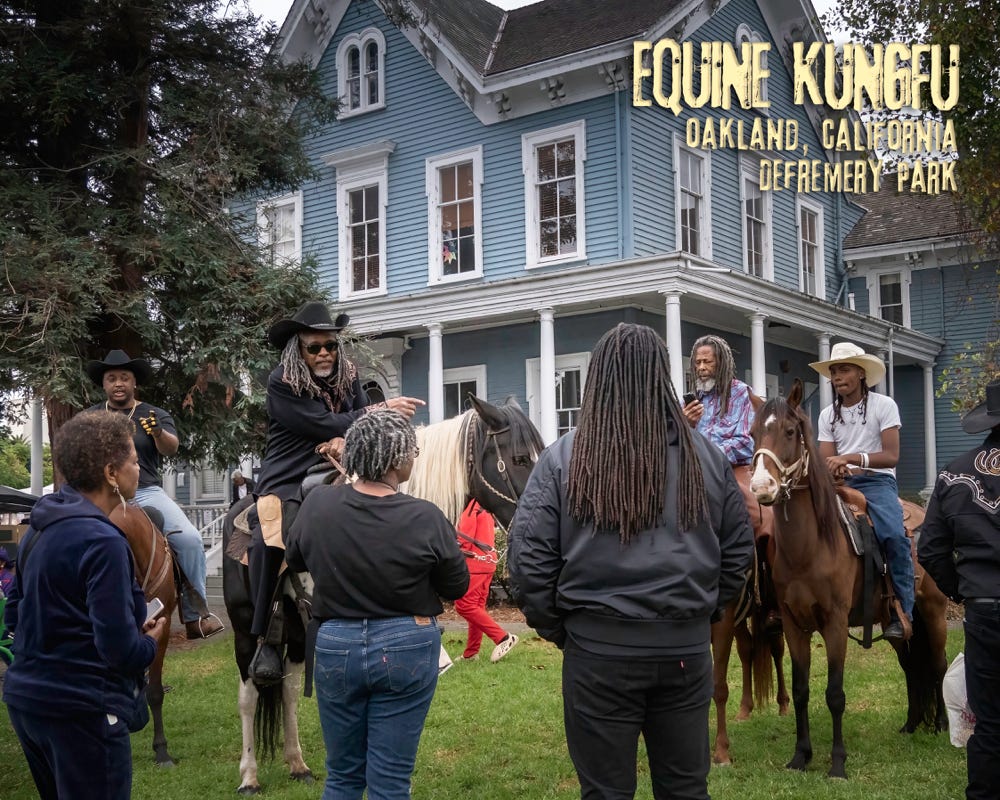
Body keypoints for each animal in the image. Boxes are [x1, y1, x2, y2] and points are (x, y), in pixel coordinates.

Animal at [748, 384, 948, 780]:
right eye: (752, 434)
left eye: (790, 432)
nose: (762, 486)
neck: (811, 546)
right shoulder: (793, 625)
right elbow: (801, 690)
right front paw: (801, 757)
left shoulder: (836, 623)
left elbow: (835, 694)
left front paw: (837, 763)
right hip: (898, 623)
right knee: (911, 666)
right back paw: (911, 725)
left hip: (935, 614)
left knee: (939, 664)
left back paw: (942, 726)